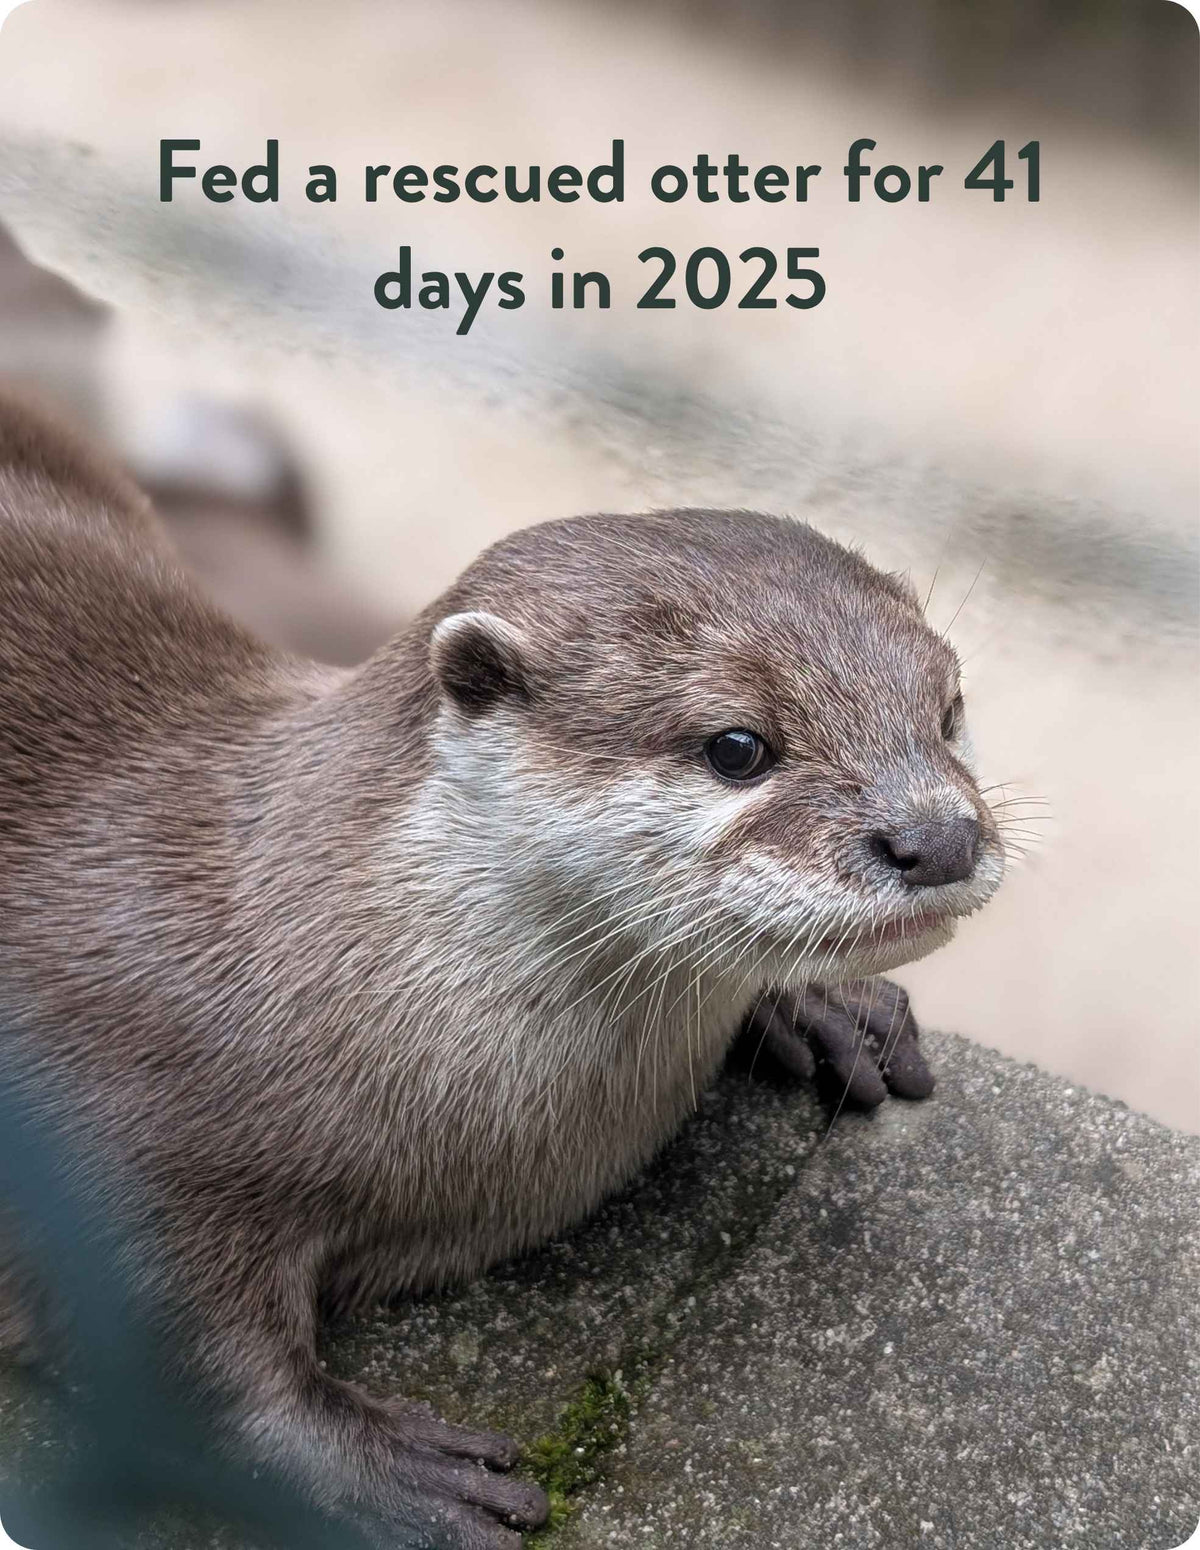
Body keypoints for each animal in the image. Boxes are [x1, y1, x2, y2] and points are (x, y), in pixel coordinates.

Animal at [0, 394, 1004, 1548]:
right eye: (738, 745)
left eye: (949, 707)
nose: (938, 836)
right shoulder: (94, 1112)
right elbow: (155, 1351)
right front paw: (382, 1467)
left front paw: (828, 1008)